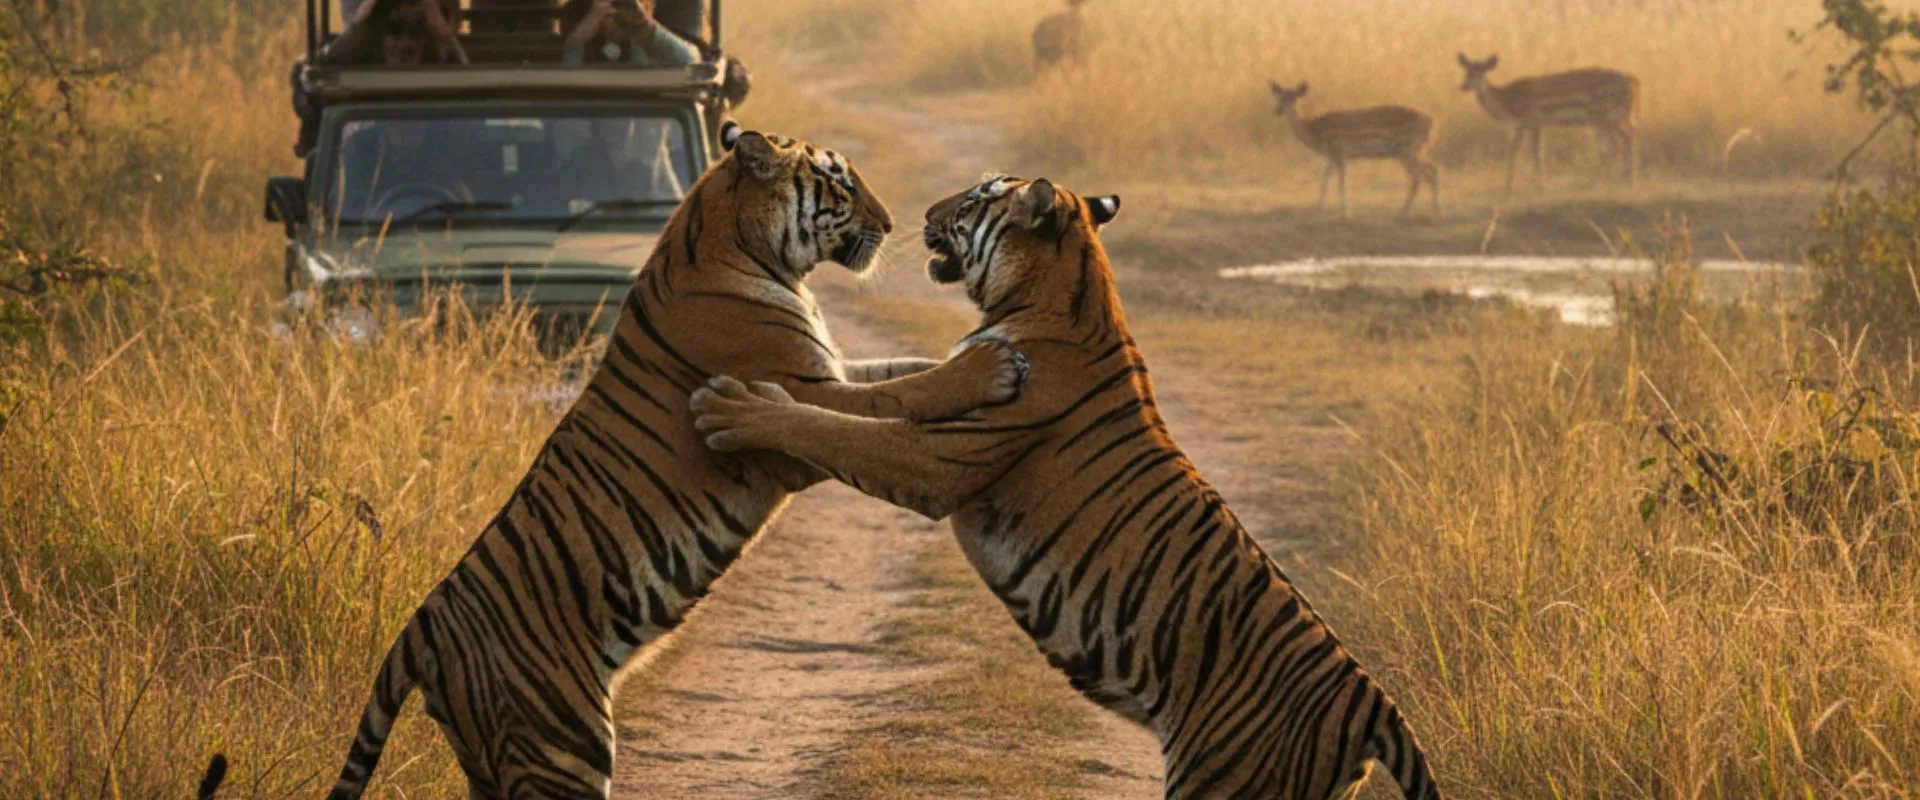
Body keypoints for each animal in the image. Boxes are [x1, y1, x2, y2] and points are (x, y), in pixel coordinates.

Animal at [201, 124, 1028, 800]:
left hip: (495, 757)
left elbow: (904, 368)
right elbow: (902, 393)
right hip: (563, 742)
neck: (734, 241)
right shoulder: (803, 397)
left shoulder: (829, 374)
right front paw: (993, 370)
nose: (892, 225)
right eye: (840, 184)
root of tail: (421, 629)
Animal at [689, 175, 1443, 799]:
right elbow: (854, 403)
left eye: (973, 201)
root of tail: (1371, 700)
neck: (1062, 294)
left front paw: (734, 409)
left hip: (1225, 780)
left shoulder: (933, 459)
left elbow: (836, 427)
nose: (923, 213)